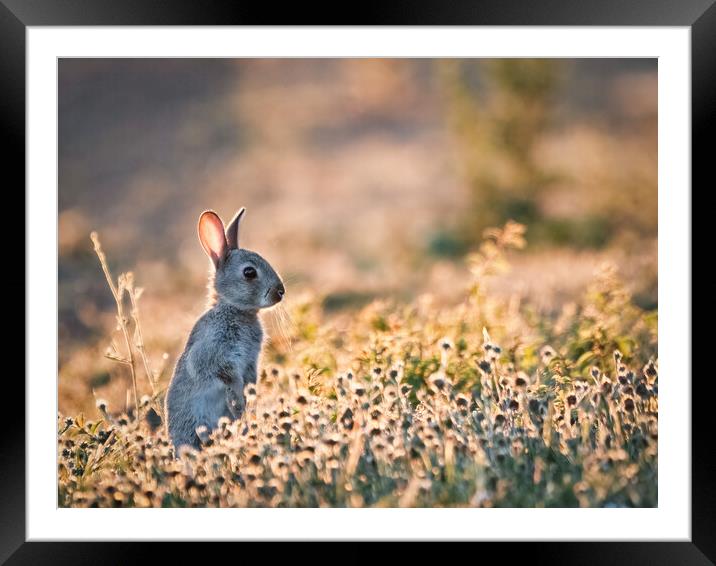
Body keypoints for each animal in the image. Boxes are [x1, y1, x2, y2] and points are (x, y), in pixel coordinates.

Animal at [164, 206, 284, 454]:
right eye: (249, 273)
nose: (281, 291)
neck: (234, 309)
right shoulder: (216, 358)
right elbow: (228, 380)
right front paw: (239, 406)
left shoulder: (250, 363)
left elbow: (249, 381)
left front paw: (248, 404)